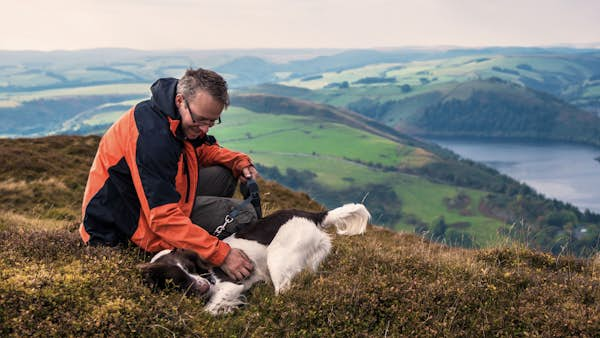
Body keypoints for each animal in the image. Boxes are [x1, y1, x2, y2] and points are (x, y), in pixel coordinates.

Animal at [139, 203, 370, 314]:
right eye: (175, 280)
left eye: (192, 268)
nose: (205, 286)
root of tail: (313, 214)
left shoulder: (230, 285)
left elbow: (207, 311)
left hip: (278, 258)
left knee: (283, 292)